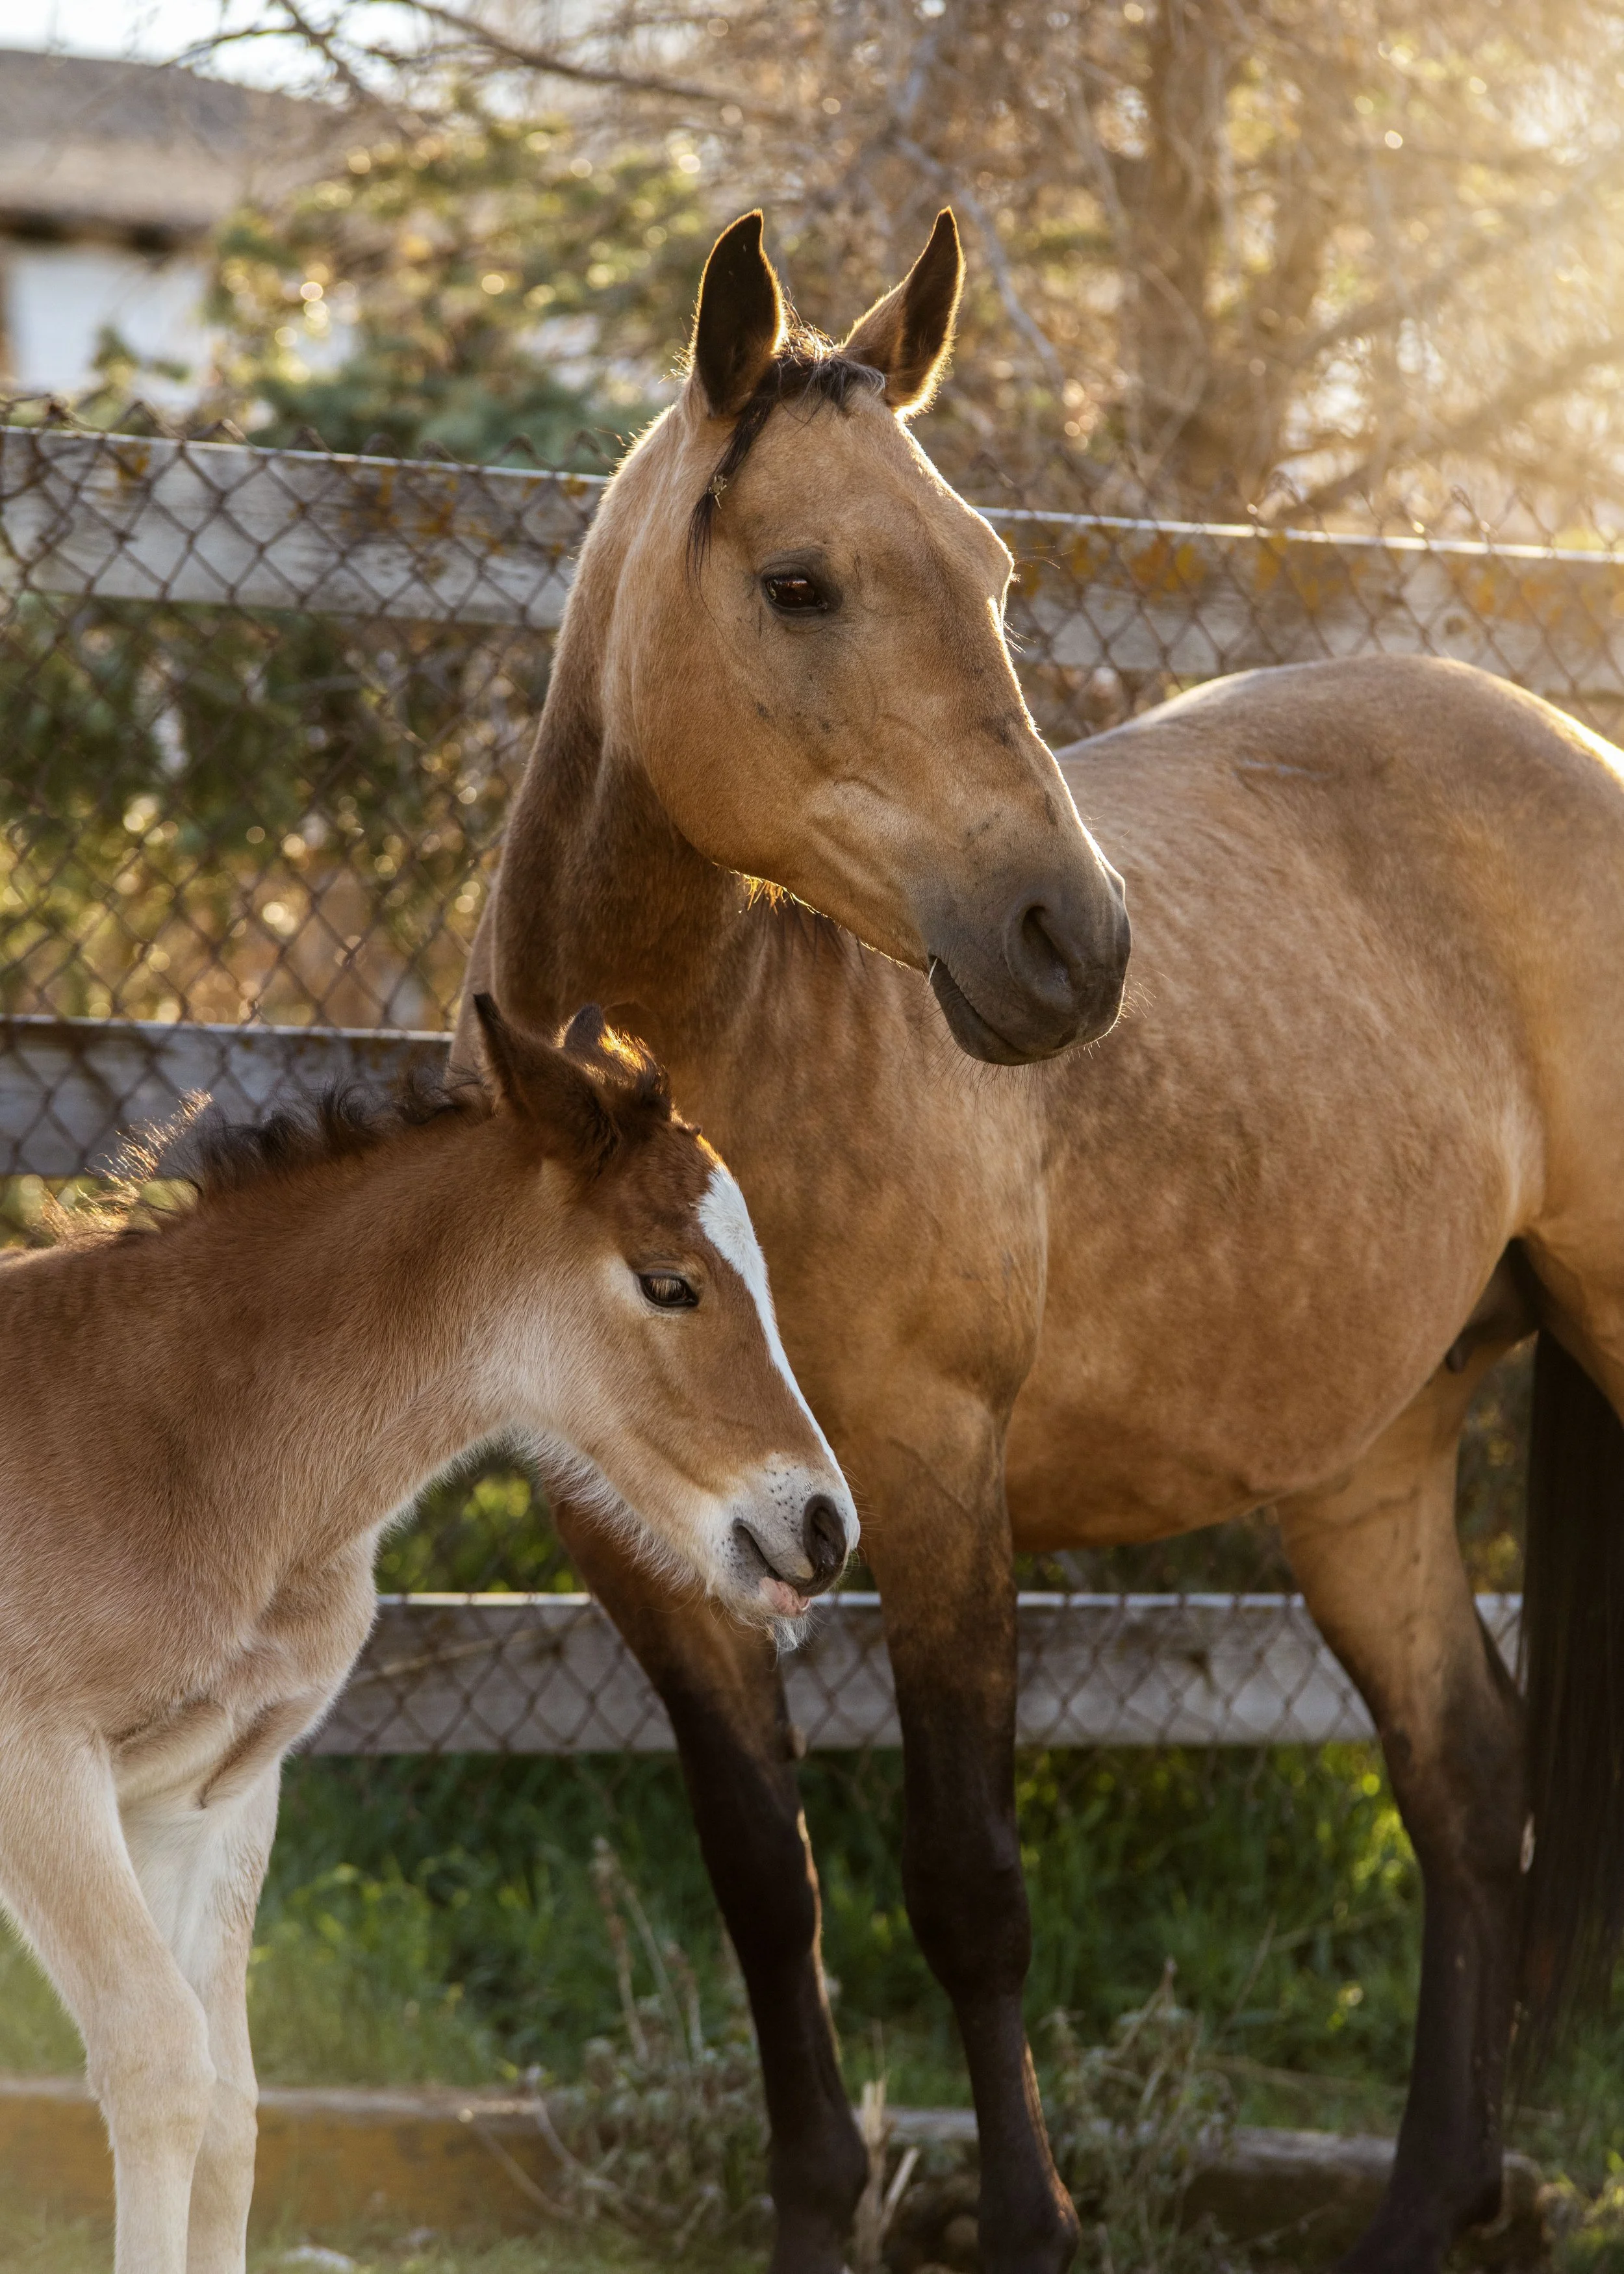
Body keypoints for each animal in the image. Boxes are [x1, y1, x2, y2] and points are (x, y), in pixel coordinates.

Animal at [0, 998, 857, 2274]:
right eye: (669, 1284)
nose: (824, 1527)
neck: (170, 1441)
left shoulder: (208, 1795)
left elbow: (232, 2106)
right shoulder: (40, 1770)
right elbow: (159, 2064)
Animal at [461, 210, 1624, 2274]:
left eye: (996, 573)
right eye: (800, 583)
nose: (1069, 944)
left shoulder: (936, 1485)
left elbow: (964, 1884)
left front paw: (1029, 2224)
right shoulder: (643, 1544)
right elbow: (769, 1887)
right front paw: (816, 2213)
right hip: (1367, 1455)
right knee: (1465, 1782)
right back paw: (1427, 2206)